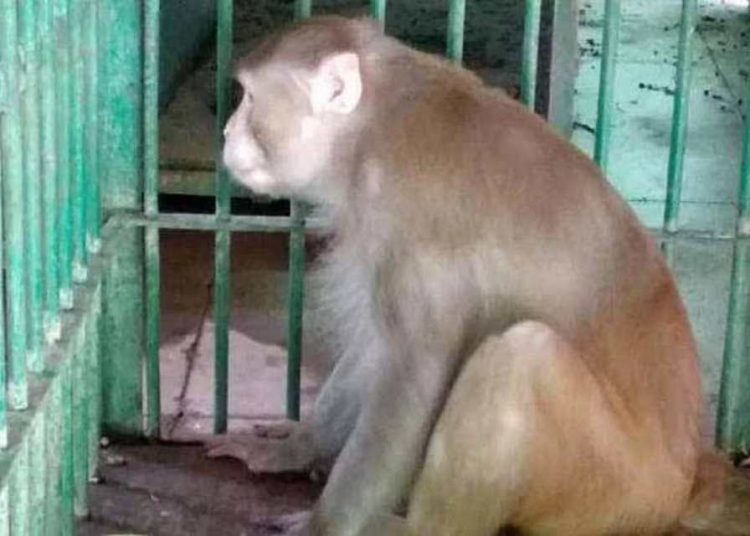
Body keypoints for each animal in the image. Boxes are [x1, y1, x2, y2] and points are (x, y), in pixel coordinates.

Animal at [215, 15, 715, 536]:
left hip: (614, 491)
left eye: (249, 98)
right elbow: (377, 345)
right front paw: (292, 450)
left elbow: (412, 370)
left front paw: (325, 524)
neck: (372, 127)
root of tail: (679, 489)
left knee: (523, 355)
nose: (227, 131)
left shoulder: (407, 222)